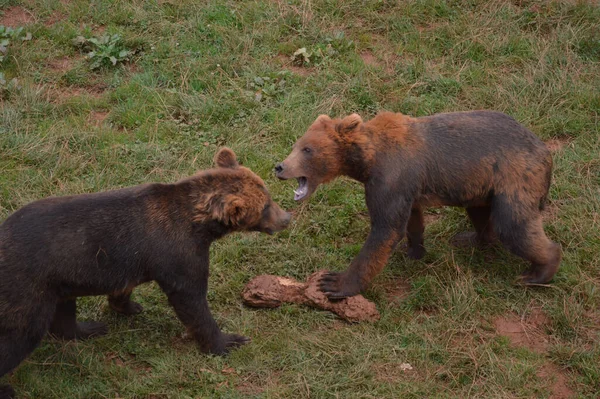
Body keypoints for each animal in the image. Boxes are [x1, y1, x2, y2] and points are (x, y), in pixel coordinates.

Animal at [0, 148, 290, 399]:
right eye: (265, 207)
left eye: (268, 196)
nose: (286, 218)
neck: (199, 226)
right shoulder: (179, 253)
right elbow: (192, 301)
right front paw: (228, 341)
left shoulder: (133, 260)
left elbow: (125, 287)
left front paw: (129, 306)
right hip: (27, 286)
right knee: (19, 334)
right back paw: (8, 387)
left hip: (58, 279)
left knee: (63, 310)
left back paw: (89, 328)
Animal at [276, 111, 564, 298]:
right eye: (297, 145)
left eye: (307, 150)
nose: (279, 166)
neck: (368, 161)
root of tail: (546, 151)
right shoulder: (407, 189)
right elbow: (412, 220)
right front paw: (414, 250)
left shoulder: (390, 179)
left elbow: (384, 230)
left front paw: (335, 282)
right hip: (482, 184)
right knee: (482, 215)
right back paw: (468, 238)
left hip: (515, 176)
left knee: (514, 225)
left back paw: (537, 273)